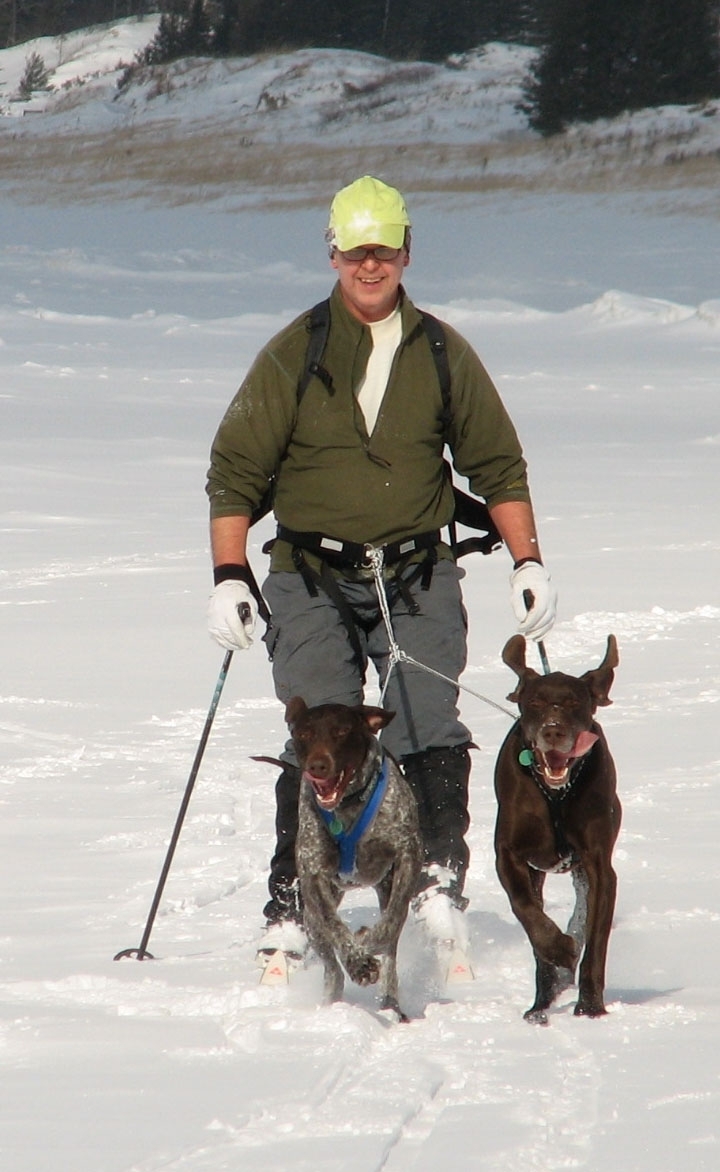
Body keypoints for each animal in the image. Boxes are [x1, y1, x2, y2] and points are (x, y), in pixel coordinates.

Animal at [286, 698, 422, 1021]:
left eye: (341, 731)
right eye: (304, 733)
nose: (317, 766)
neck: (347, 805)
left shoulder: (408, 855)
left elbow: (389, 924)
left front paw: (365, 943)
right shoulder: (313, 876)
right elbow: (336, 928)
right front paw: (358, 962)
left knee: (390, 947)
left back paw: (390, 1004)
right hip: (311, 920)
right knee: (332, 967)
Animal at [494, 637, 623, 1021]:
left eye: (573, 702)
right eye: (535, 702)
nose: (553, 730)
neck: (554, 795)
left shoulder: (598, 866)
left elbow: (595, 941)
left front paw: (591, 1005)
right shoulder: (509, 855)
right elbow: (525, 909)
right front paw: (560, 948)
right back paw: (540, 1004)